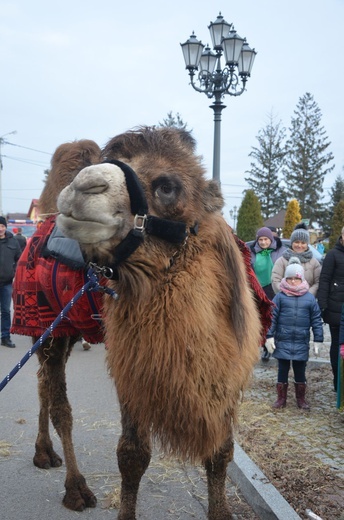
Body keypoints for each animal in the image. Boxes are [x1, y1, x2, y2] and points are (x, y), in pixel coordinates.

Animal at [55, 127, 262, 520]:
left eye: (168, 186)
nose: (83, 186)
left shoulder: (228, 382)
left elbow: (220, 452)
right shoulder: (131, 372)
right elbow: (132, 456)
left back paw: (47, 457)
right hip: (51, 331)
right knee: (57, 402)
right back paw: (74, 487)